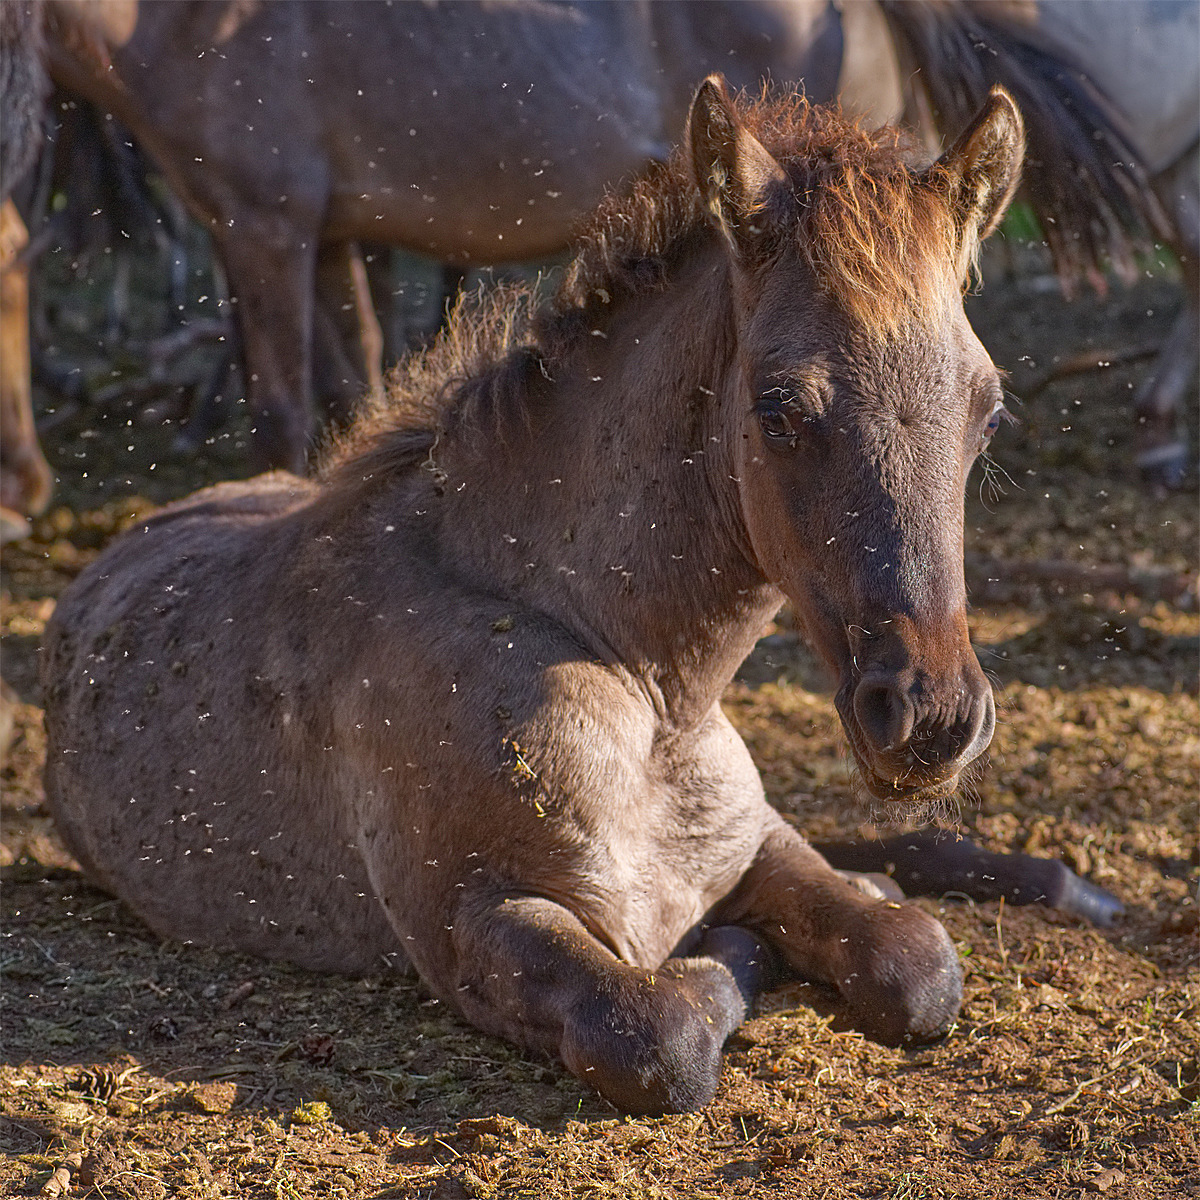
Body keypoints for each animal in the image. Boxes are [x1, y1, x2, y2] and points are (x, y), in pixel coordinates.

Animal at [44, 82, 1113, 1113]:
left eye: (987, 410)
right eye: (778, 408)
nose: (931, 719)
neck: (644, 687)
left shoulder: (759, 844)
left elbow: (916, 962)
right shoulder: (475, 919)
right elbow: (660, 1030)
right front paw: (733, 954)